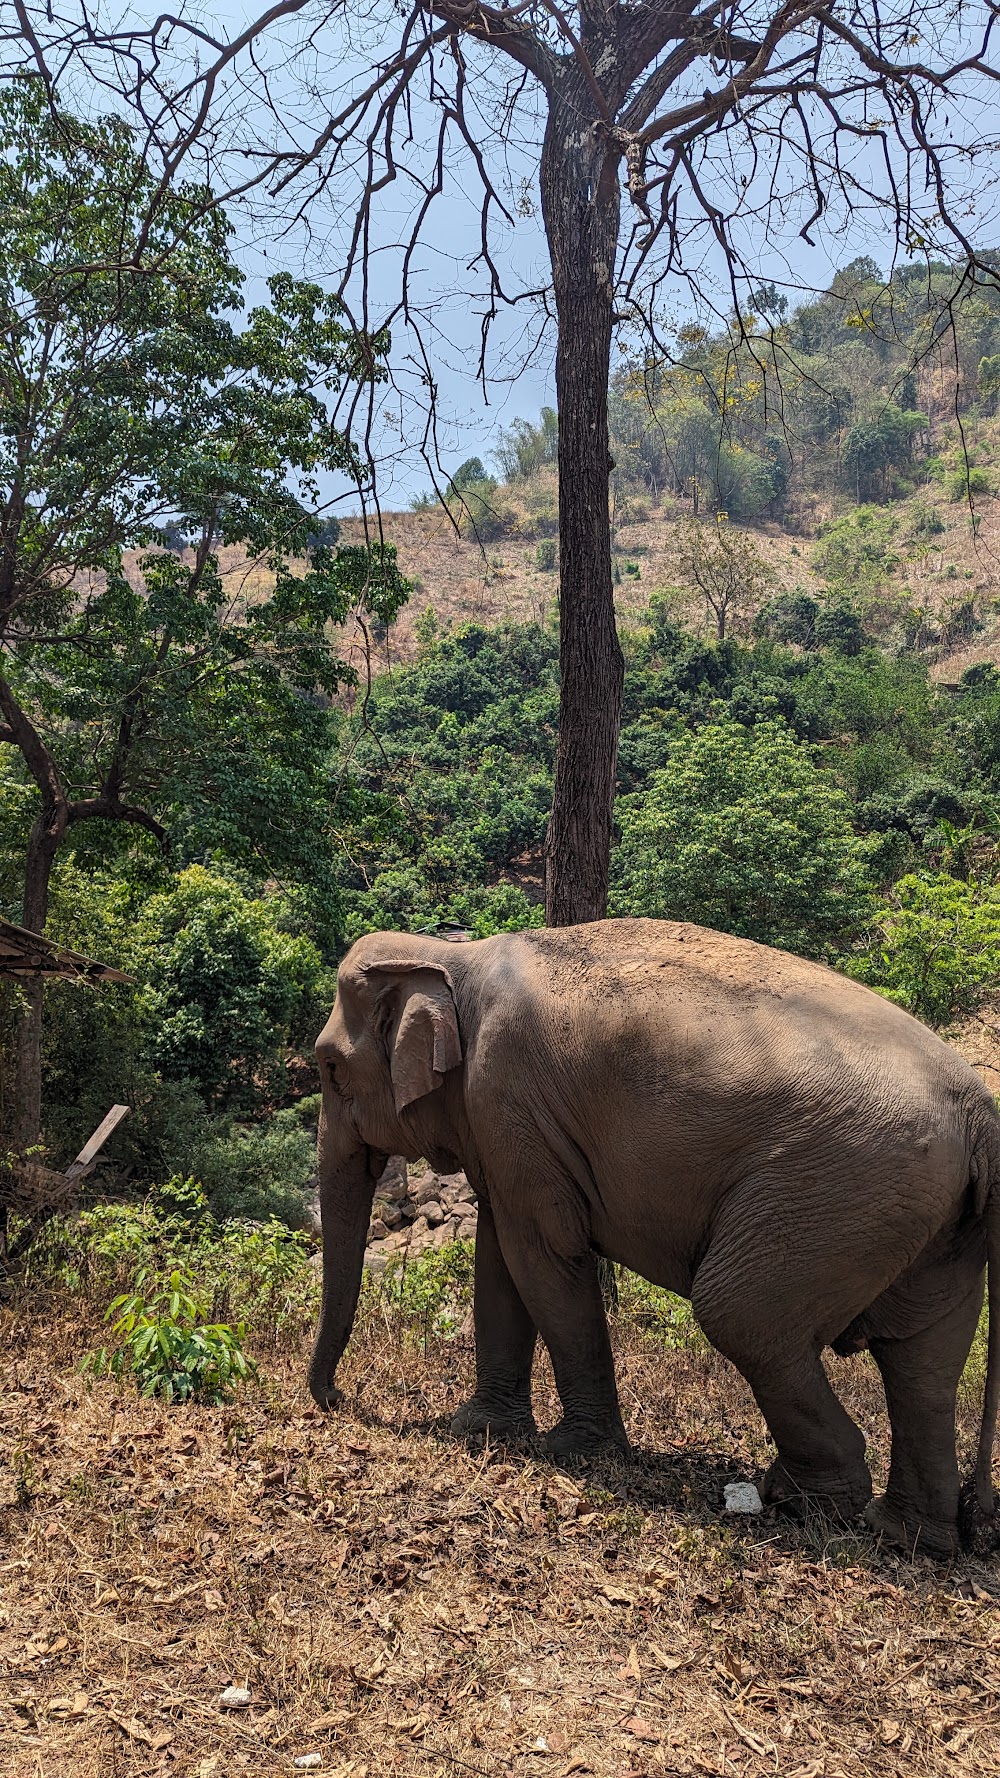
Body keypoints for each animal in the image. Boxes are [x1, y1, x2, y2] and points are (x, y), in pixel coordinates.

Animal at [307, 917, 989, 1557]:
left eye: (330, 1068)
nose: (337, 1397)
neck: (455, 956)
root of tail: (980, 1114)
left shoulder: (506, 1098)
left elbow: (542, 1253)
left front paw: (573, 1452)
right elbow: (499, 1253)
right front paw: (479, 1430)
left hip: (833, 1193)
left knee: (740, 1314)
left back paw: (803, 1504)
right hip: (928, 1226)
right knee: (923, 1363)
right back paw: (907, 1535)